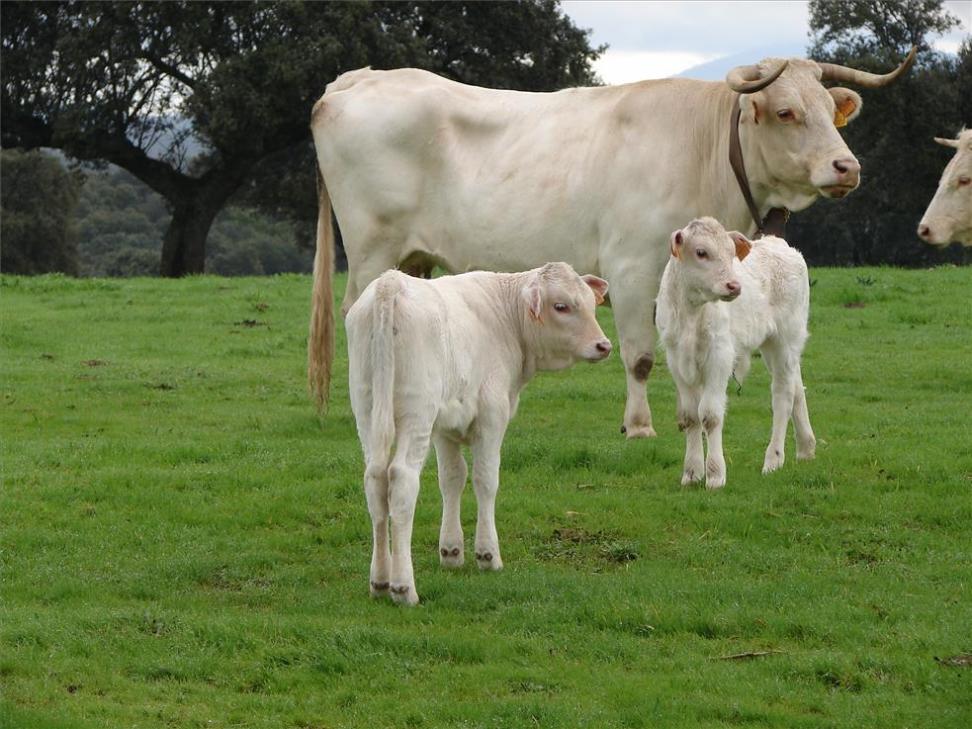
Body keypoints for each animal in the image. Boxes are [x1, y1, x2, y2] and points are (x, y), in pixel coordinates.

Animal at [310, 52, 912, 438]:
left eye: (830, 111)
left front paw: (682, 417)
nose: (847, 166)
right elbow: (641, 357)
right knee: (355, 314)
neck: (704, 148)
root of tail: (357, 80)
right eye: (787, 112)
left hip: (413, 261)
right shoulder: (630, 269)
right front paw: (639, 426)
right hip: (372, 251)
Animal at [346, 262, 612, 604]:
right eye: (561, 306)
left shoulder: (444, 428)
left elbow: (452, 478)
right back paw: (403, 586)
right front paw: (487, 555)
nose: (604, 345)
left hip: (367, 411)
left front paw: (451, 551)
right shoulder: (491, 416)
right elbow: (486, 480)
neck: (505, 316)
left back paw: (379, 580)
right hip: (417, 413)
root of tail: (391, 282)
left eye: (591, 304)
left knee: (375, 480)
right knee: (403, 480)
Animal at [656, 216, 816, 490]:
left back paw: (773, 459)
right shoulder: (676, 359)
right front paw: (691, 473)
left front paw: (715, 475)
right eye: (701, 252)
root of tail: (778, 243)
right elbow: (690, 416)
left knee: (783, 395)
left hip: (785, 340)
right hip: (782, 348)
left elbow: (709, 415)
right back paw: (806, 448)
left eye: (731, 254)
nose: (734, 286)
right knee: (797, 388)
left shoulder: (719, 356)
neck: (691, 313)